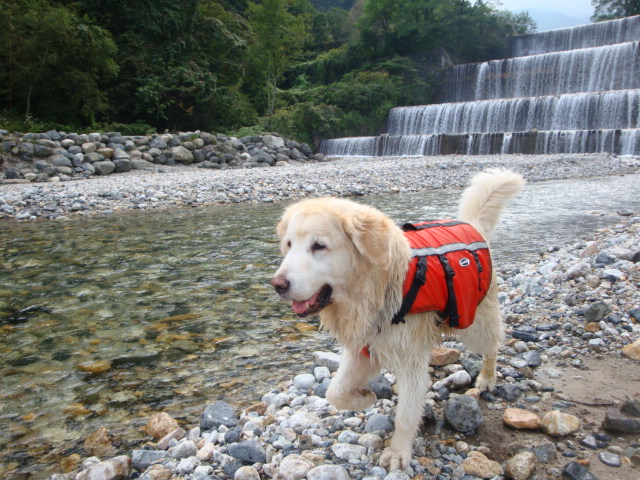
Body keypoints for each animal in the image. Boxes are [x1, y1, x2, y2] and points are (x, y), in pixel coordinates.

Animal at [268, 170, 524, 472]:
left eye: (319, 246)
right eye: (289, 244)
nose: (278, 285)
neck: (374, 288)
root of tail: (473, 225)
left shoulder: (409, 360)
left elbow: (405, 414)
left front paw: (398, 452)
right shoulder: (364, 346)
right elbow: (334, 392)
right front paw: (364, 397)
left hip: (474, 325)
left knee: (493, 344)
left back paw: (487, 378)